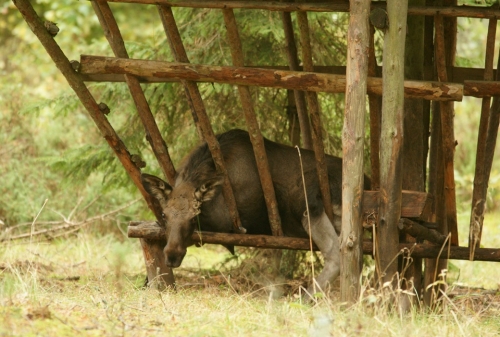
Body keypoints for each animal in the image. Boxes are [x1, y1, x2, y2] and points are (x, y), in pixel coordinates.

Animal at [143, 129, 370, 294]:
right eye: (164, 214)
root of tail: (368, 183)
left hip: (305, 199)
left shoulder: (232, 224)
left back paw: (306, 297)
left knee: (337, 253)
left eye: (194, 217)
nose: (172, 256)